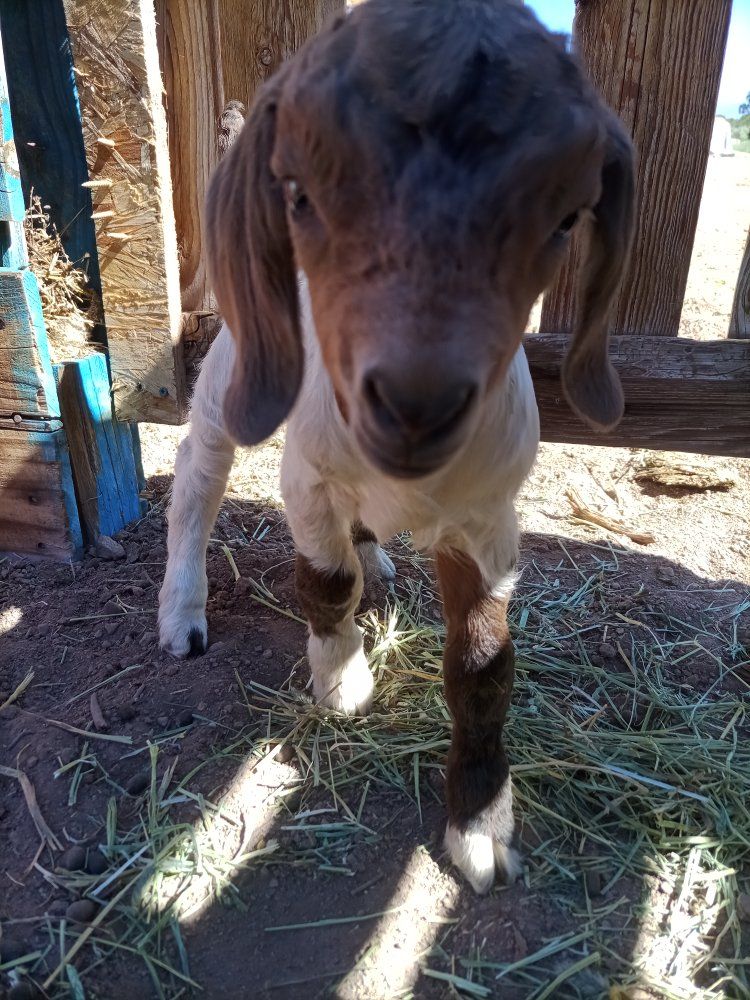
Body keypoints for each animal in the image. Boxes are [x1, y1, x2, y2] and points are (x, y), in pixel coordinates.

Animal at [159, 0, 635, 894]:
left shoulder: (487, 522)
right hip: (236, 375)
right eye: (302, 194)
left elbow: (483, 664)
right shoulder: (306, 476)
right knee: (197, 483)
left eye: (564, 217)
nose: (416, 402)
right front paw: (342, 678)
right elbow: (322, 581)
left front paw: (479, 820)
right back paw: (182, 610)